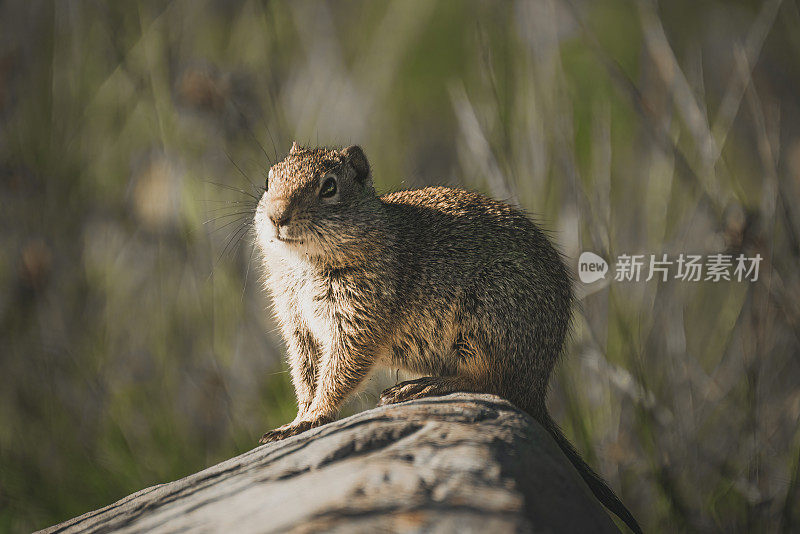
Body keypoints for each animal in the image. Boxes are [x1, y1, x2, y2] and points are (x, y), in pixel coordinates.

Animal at [253, 143, 640, 534]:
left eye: (329, 187)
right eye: (269, 179)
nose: (276, 216)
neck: (304, 265)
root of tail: (537, 388)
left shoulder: (357, 323)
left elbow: (339, 373)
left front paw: (312, 417)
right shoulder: (297, 326)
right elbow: (305, 375)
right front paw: (297, 418)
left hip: (488, 325)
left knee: (492, 382)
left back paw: (422, 386)